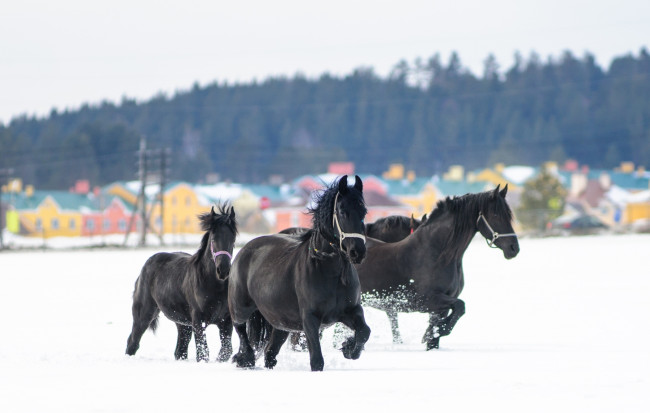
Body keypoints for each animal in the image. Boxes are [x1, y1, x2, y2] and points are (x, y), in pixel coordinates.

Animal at [125, 204, 237, 360]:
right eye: (214, 239)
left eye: (233, 239)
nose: (223, 270)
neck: (214, 286)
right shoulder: (199, 321)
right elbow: (203, 353)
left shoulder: (225, 321)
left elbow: (226, 350)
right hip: (144, 315)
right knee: (133, 342)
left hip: (183, 324)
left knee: (180, 351)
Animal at [228, 174, 370, 370]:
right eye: (342, 211)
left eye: (364, 211)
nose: (358, 252)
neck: (330, 272)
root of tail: (244, 250)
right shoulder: (310, 319)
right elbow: (317, 360)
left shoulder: (351, 310)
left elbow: (364, 331)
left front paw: (349, 348)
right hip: (241, 307)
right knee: (240, 328)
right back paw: (246, 358)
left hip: (281, 324)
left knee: (270, 353)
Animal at [352, 185, 520, 350]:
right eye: (496, 215)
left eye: (508, 214)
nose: (514, 248)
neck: (435, 254)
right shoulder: (426, 301)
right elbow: (460, 306)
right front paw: (431, 333)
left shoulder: (440, 306)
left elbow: (441, 330)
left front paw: (432, 334)